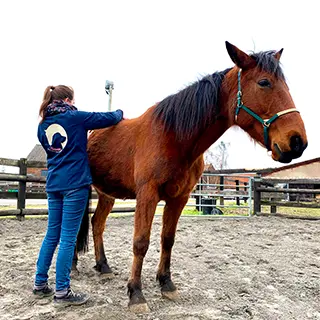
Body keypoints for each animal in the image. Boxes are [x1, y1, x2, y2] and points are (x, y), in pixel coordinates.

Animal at [74, 40, 308, 312]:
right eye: (264, 82)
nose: (298, 141)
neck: (173, 137)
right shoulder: (147, 195)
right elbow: (141, 242)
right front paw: (136, 294)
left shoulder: (180, 198)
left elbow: (167, 239)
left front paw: (166, 283)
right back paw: (73, 266)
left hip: (106, 195)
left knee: (97, 224)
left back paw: (103, 266)